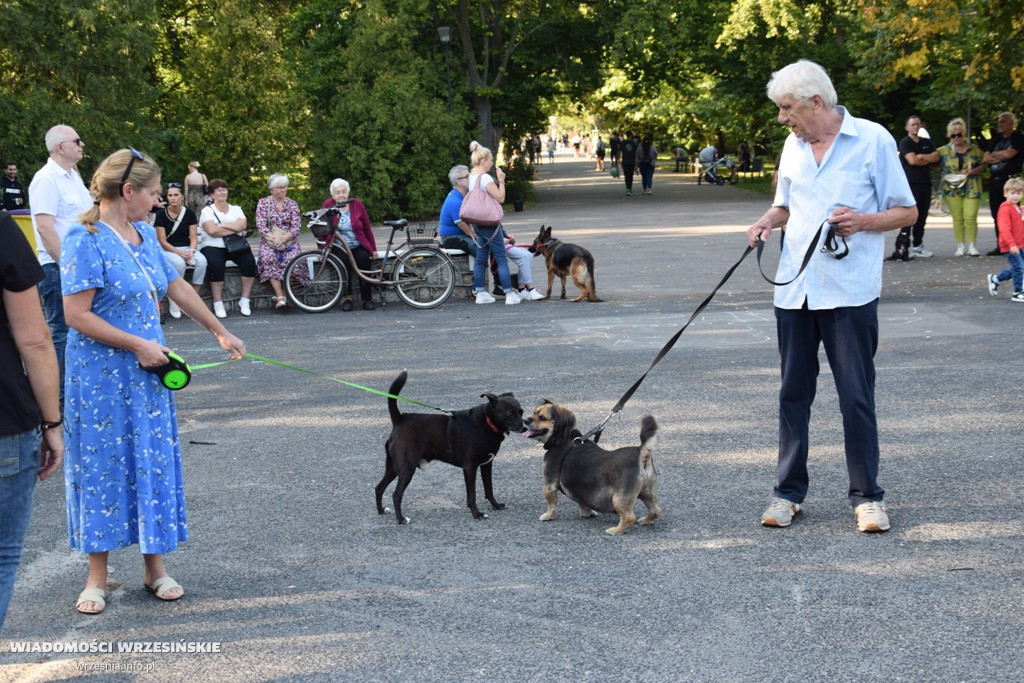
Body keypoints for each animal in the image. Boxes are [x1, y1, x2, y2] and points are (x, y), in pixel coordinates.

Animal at [374, 374, 524, 524]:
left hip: (393, 468)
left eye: (521, 412)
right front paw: (476, 513)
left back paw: (381, 510)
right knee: (396, 494)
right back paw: (401, 519)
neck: (487, 421)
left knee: (379, 487)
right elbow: (472, 494)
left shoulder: (487, 465)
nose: (525, 426)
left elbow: (489, 489)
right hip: (407, 468)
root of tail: (400, 419)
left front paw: (495, 505)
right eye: (510, 414)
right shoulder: (469, 467)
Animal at [524, 397, 659, 536]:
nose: (526, 420)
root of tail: (641, 452)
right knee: (656, 510)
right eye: (534, 413)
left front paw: (548, 516)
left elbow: (551, 503)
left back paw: (616, 530)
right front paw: (587, 513)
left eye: (542, 417)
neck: (561, 439)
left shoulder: (549, 485)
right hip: (647, 492)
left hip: (619, 499)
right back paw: (646, 521)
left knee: (629, 517)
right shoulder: (579, 487)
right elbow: (582, 502)